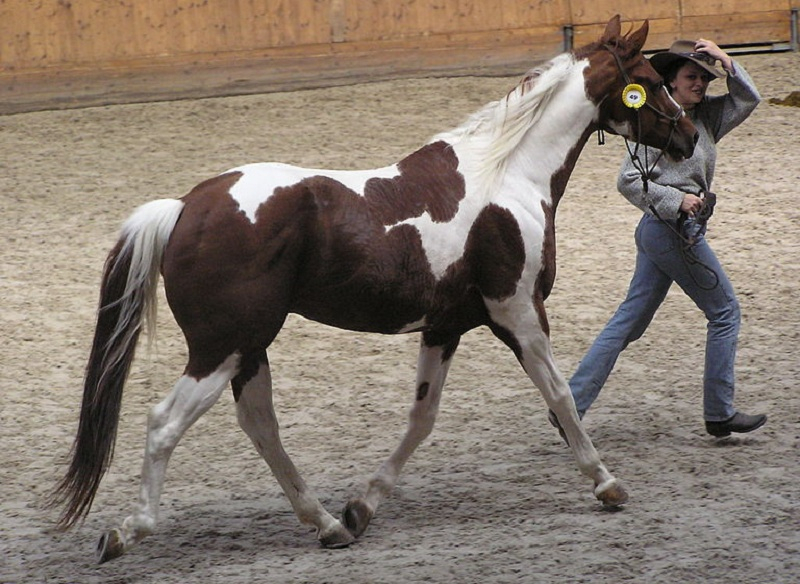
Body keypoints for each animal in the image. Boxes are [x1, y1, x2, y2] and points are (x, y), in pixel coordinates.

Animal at [53, 16, 696, 564]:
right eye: (648, 83)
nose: (689, 137)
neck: (508, 175)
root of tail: (185, 206)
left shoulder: (445, 326)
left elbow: (422, 418)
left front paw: (361, 506)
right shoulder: (518, 311)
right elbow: (561, 397)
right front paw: (607, 484)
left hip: (248, 347)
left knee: (260, 426)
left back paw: (327, 525)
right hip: (222, 347)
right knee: (165, 423)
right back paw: (125, 533)